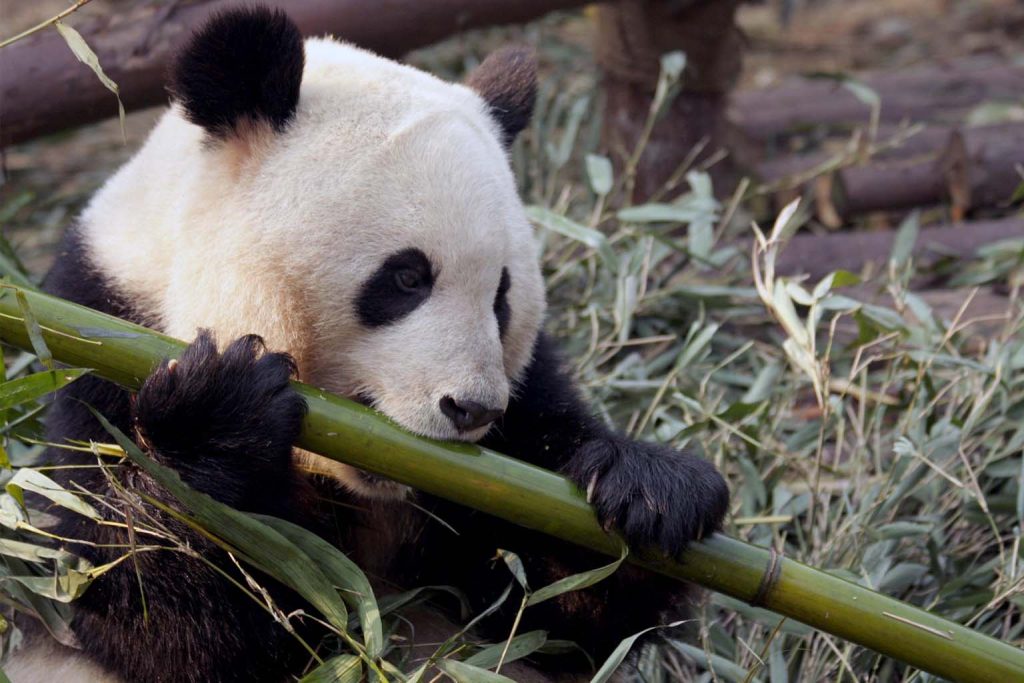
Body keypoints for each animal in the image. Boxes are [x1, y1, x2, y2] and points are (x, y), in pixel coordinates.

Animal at [8, 6, 729, 682]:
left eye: (501, 295)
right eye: (407, 277)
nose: (473, 409)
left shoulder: (520, 420)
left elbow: (547, 610)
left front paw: (652, 491)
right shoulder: (99, 341)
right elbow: (155, 613)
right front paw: (214, 423)